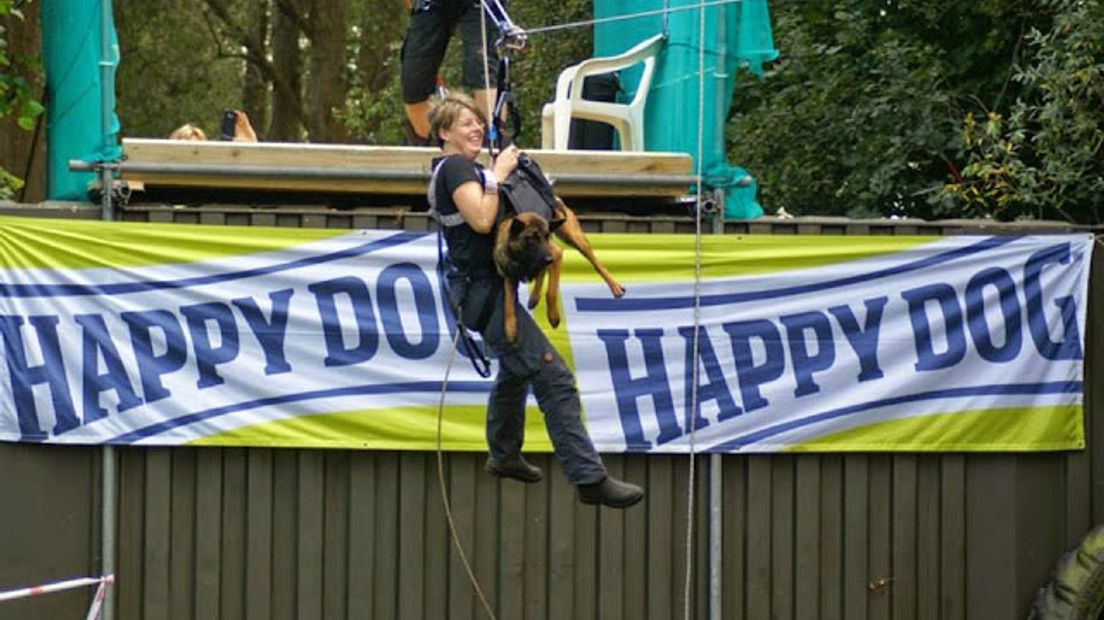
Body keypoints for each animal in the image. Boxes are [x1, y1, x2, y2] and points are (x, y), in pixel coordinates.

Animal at [496, 198, 627, 339]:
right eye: (531, 239)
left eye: (546, 236)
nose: (549, 258)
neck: (524, 260)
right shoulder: (509, 275)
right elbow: (508, 303)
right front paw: (510, 329)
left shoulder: (556, 256)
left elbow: (551, 292)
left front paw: (553, 317)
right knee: (541, 273)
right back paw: (534, 297)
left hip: (575, 238)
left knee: (596, 263)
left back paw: (615, 286)